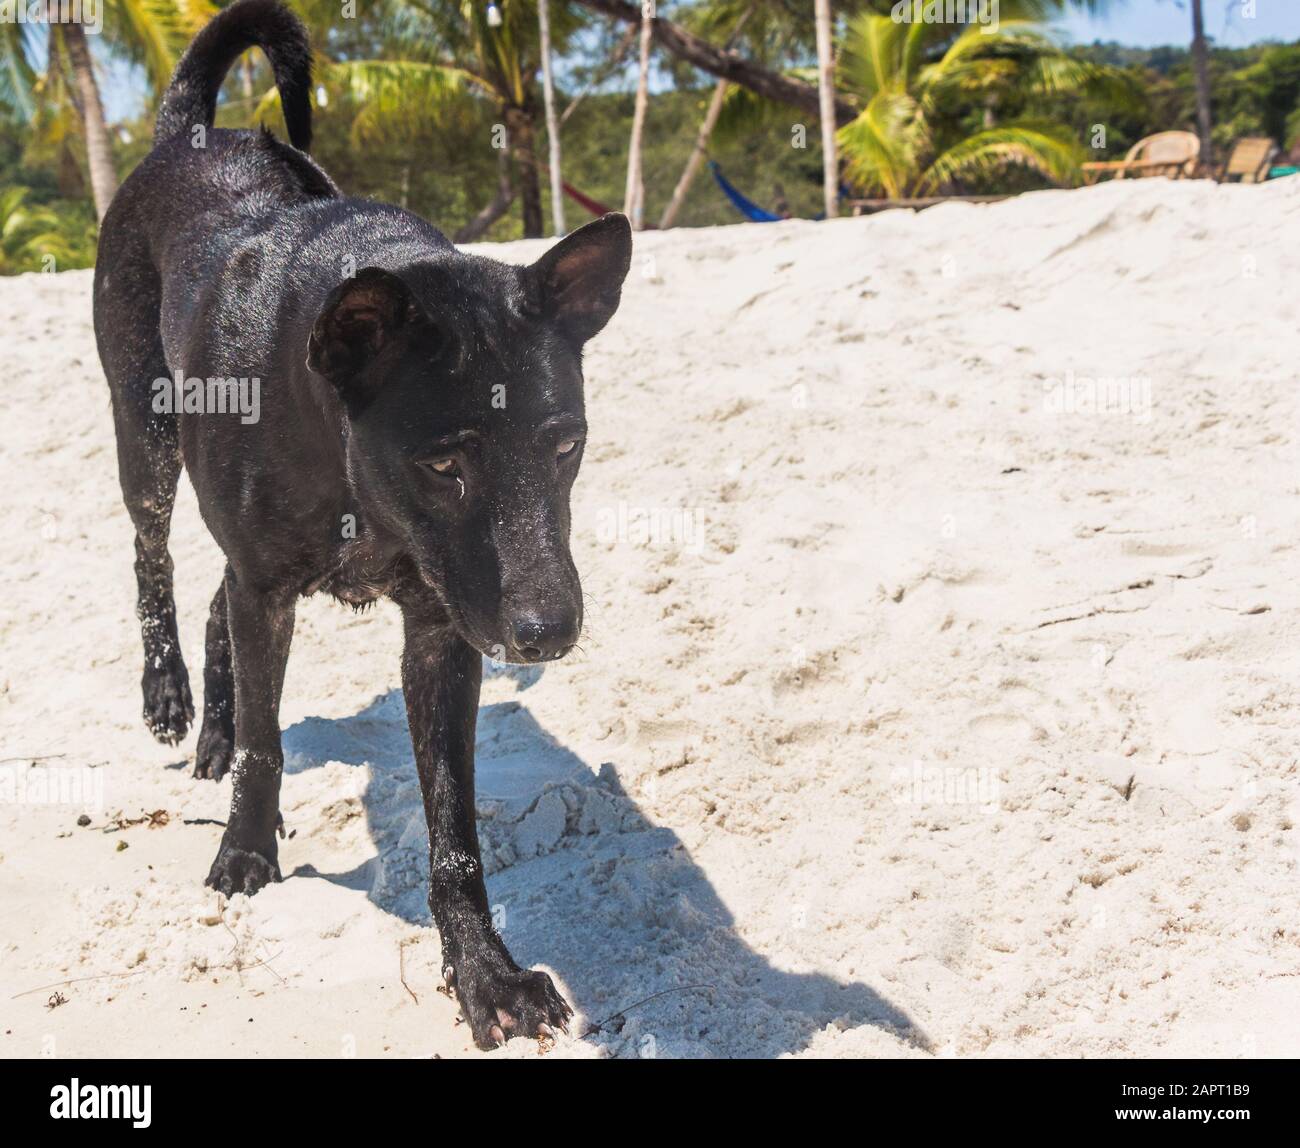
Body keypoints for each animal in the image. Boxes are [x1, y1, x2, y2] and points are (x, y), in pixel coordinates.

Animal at [91, 0, 629, 1050]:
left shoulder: (442, 633)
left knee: (212, 596)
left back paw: (210, 732)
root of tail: (187, 134)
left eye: (567, 444)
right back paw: (171, 697)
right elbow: (268, 744)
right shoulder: (273, 587)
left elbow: (455, 831)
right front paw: (244, 856)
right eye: (444, 464)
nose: (550, 633)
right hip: (146, 431)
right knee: (151, 557)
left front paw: (485, 973)